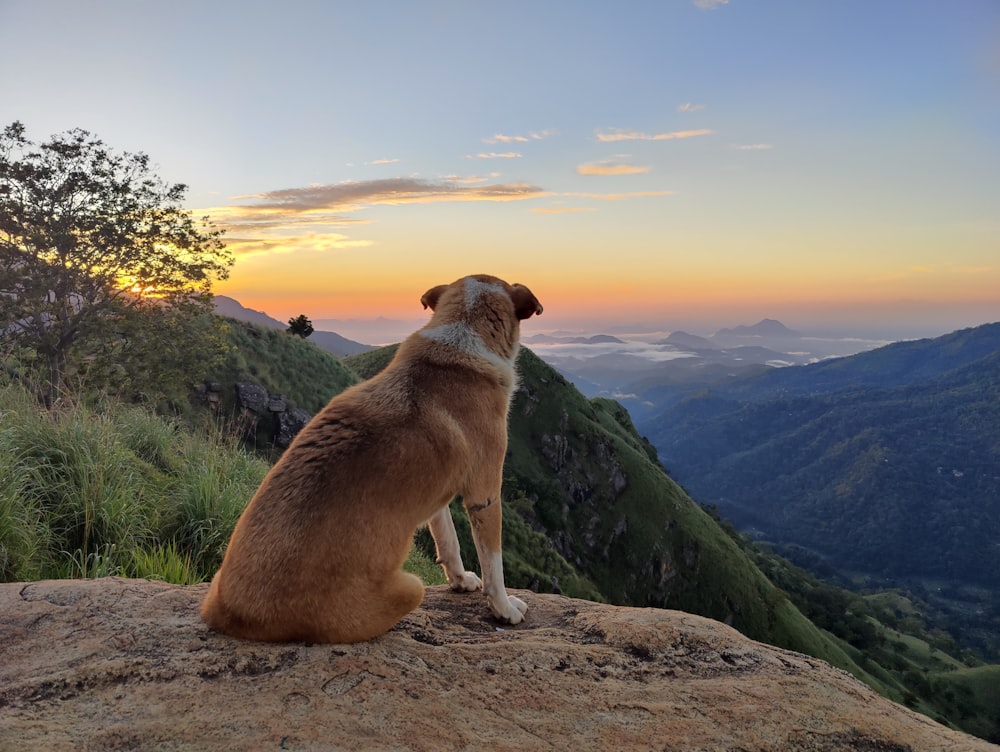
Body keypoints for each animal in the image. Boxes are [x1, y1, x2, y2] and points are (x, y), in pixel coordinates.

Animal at [200, 274, 544, 644]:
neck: (462, 336)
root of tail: (229, 613)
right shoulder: (485, 493)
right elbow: (494, 563)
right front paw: (504, 607)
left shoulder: (437, 496)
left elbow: (448, 539)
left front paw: (461, 579)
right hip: (410, 587)